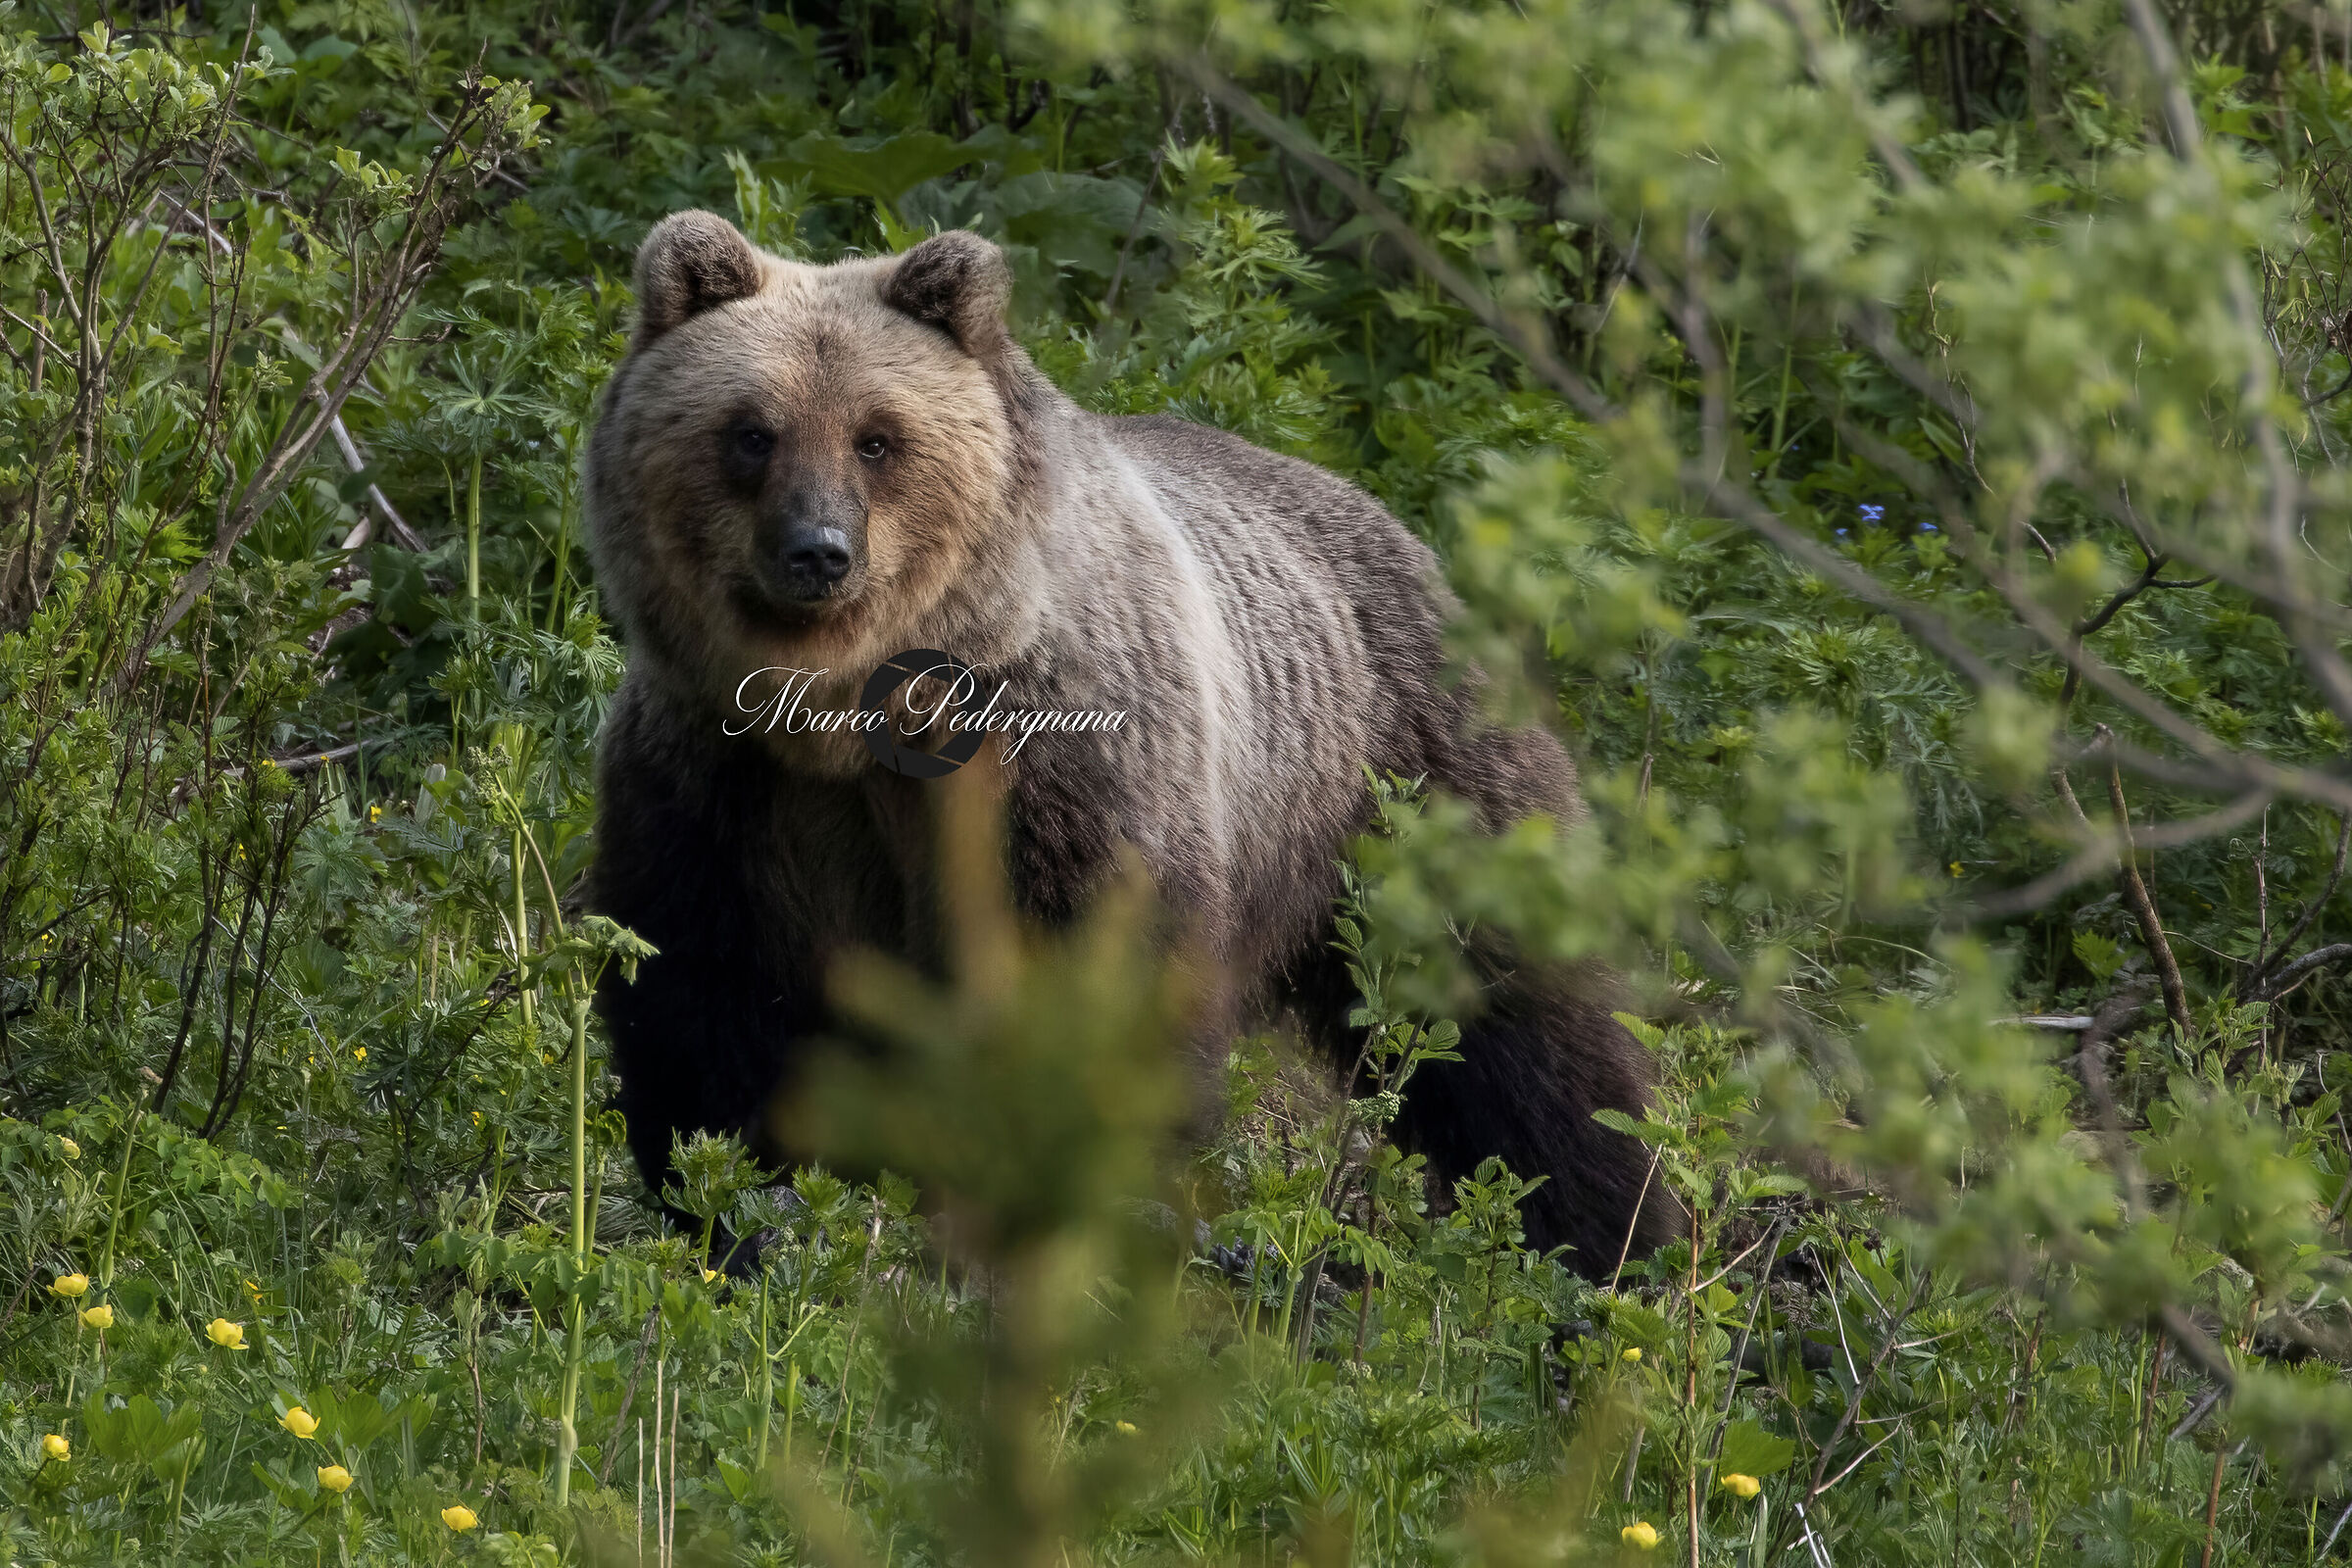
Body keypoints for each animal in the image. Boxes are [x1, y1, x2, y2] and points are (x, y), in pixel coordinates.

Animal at [583, 211, 1678, 1276]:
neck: (844, 715)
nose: (817, 552)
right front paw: (735, 1205)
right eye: (751, 432)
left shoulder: (1053, 755)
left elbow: (1094, 975)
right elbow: (702, 987)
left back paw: (1612, 1241)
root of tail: (1394, 522)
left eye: (877, 439)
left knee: (1520, 1022)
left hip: (1408, 784)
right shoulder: (722, 777)